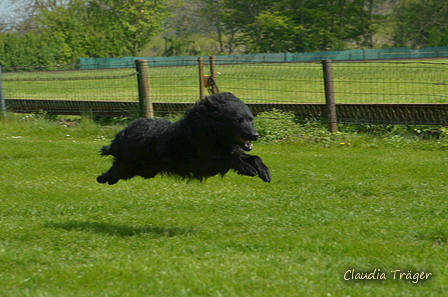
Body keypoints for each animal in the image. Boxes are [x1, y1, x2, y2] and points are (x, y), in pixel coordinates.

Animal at [97, 92, 272, 184]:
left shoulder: (237, 151)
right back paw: (101, 178)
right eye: (237, 120)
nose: (255, 135)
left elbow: (255, 157)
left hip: (140, 169)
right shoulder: (204, 162)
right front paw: (247, 169)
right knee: (113, 172)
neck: (208, 131)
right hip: (127, 166)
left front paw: (264, 172)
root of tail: (123, 133)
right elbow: (231, 159)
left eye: (251, 120)